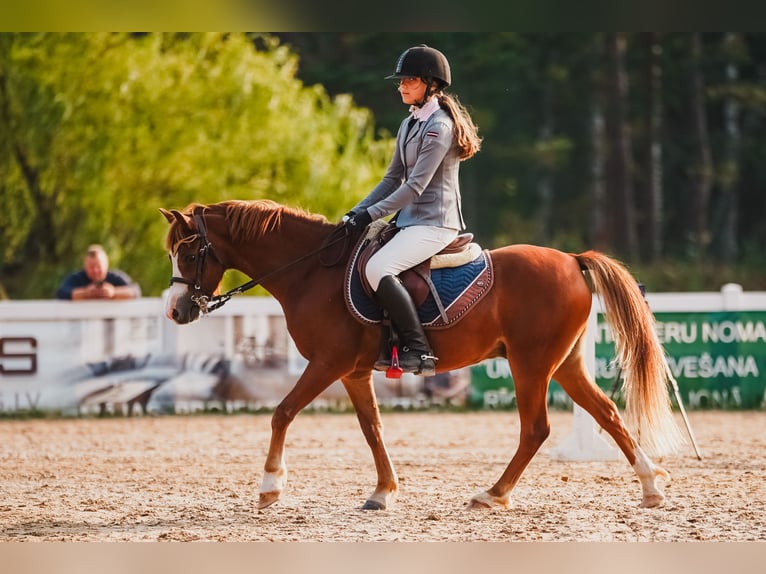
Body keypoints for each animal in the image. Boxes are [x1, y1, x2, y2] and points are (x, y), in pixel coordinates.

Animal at [162, 200, 684, 510]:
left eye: (188, 254)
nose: (175, 311)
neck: (311, 272)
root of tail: (573, 261)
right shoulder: (353, 372)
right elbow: (372, 428)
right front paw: (383, 491)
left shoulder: (328, 363)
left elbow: (282, 412)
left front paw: (270, 486)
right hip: (565, 365)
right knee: (608, 413)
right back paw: (651, 485)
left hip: (530, 365)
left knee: (536, 429)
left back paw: (493, 494)